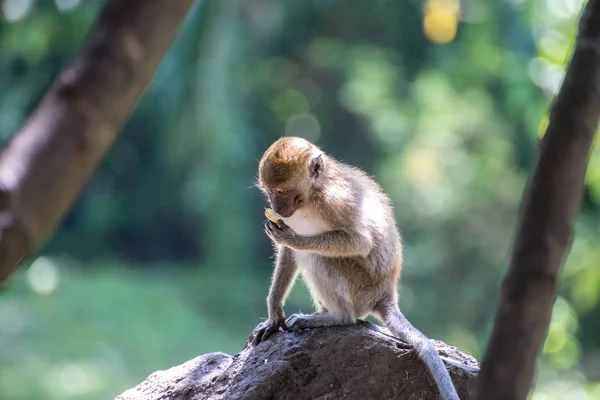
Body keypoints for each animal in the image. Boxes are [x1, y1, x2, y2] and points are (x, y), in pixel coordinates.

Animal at [253, 138, 460, 400]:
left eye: (281, 191)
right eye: (270, 192)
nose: (276, 207)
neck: (312, 197)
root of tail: (386, 293)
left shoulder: (335, 201)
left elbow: (360, 242)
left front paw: (294, 238)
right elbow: (288, 253)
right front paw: (274, 313)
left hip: (361, 288)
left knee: (318, 257)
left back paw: (339, 317)